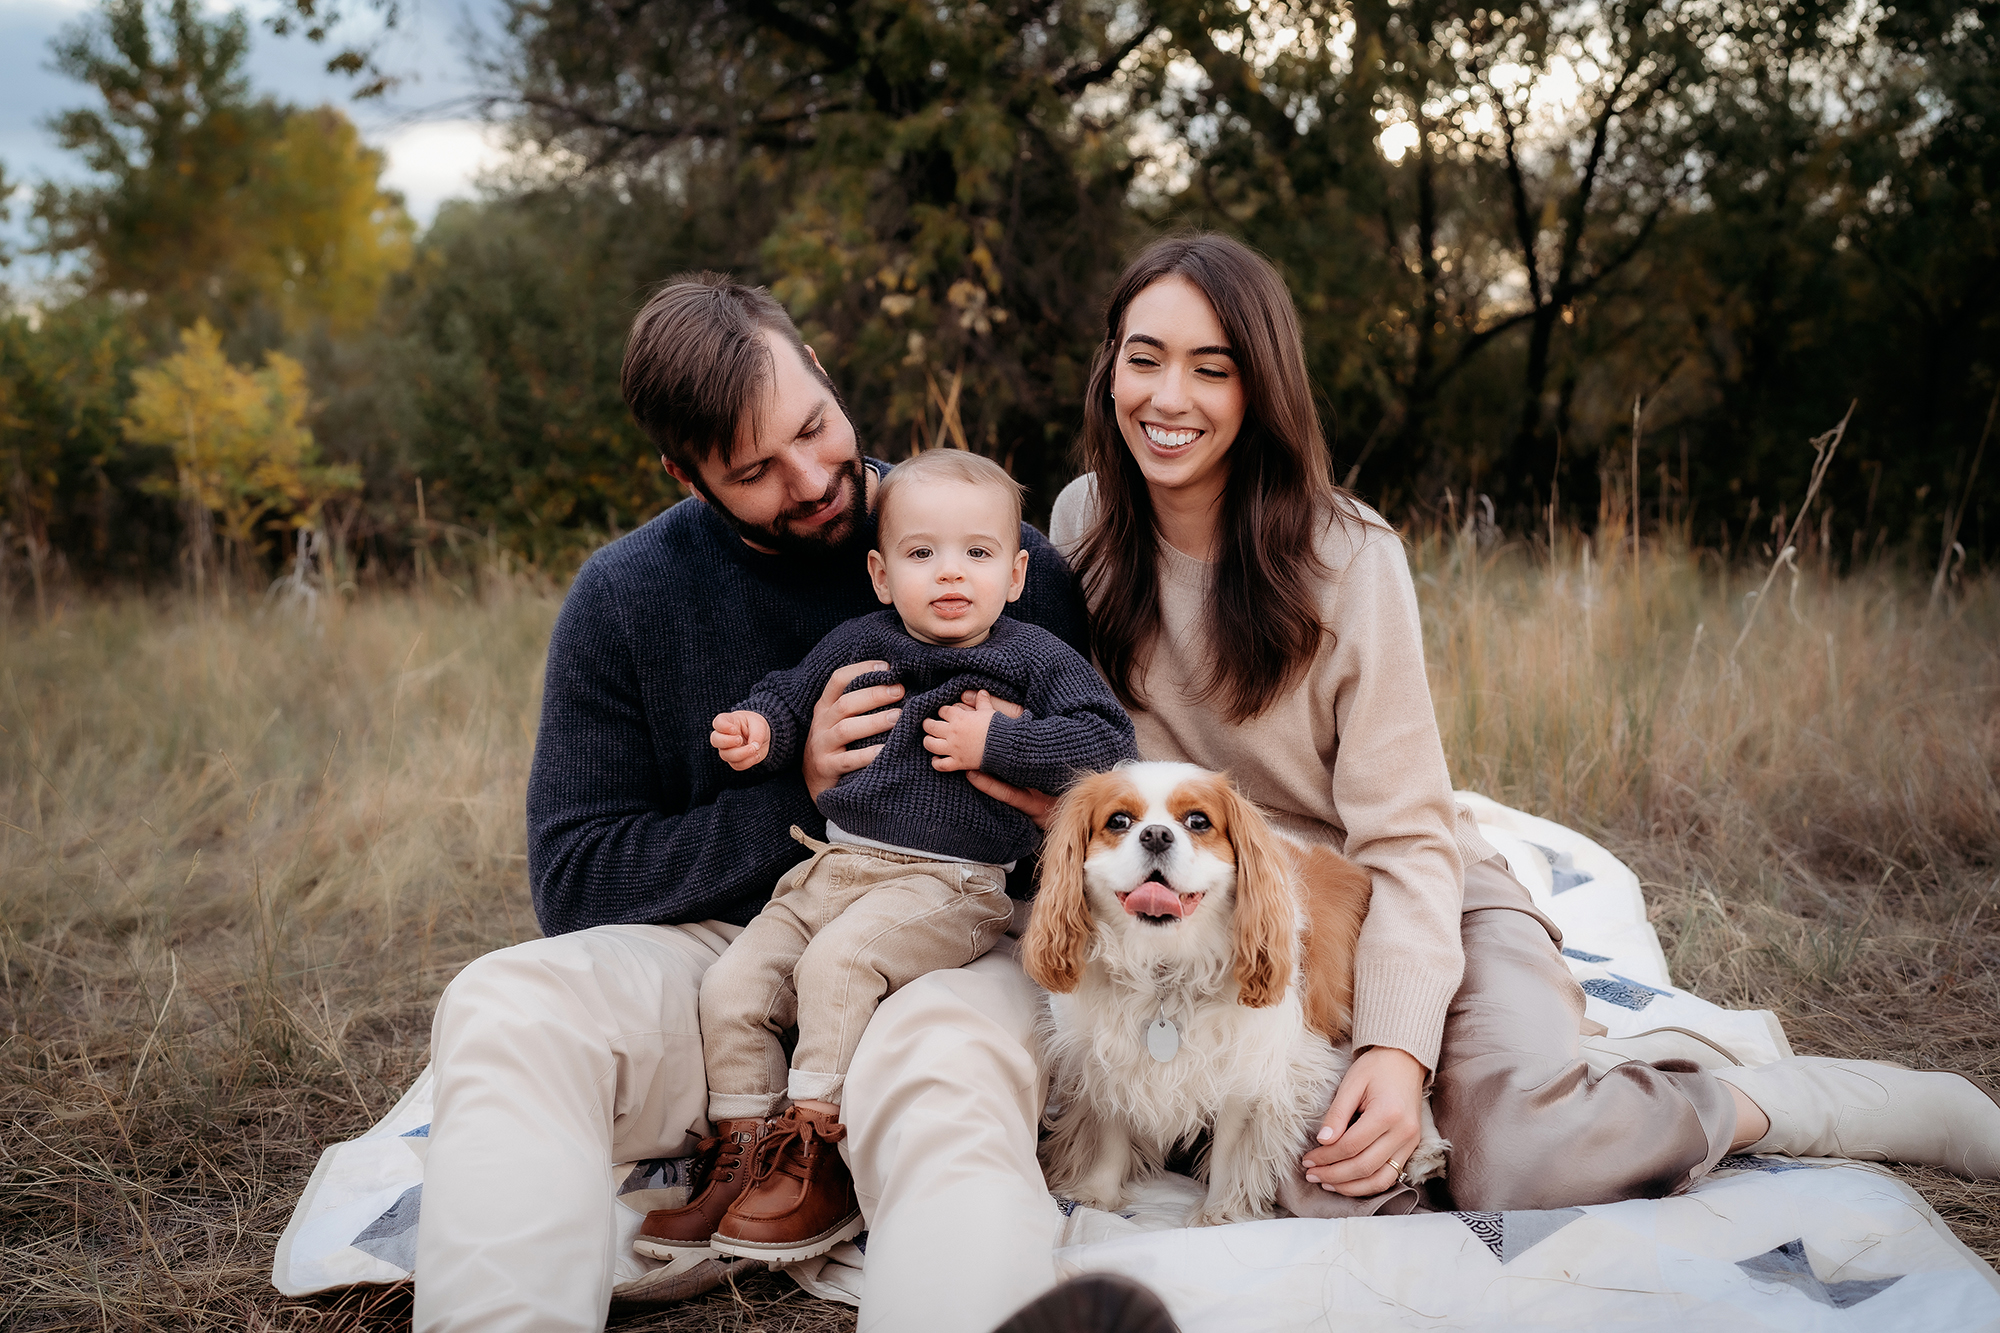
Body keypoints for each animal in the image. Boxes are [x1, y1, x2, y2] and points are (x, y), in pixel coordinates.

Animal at [1024, 756, 1448, 1224]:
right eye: (1118, 821)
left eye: (1198, 821)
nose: (1156, 835)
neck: (1165, 968)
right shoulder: (1108, 1059)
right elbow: (1111, 1131)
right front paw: (1096, 1194)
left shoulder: (1249, 1069)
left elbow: (1230, 1149)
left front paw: (1220, 1214)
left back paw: (1425, 1152)